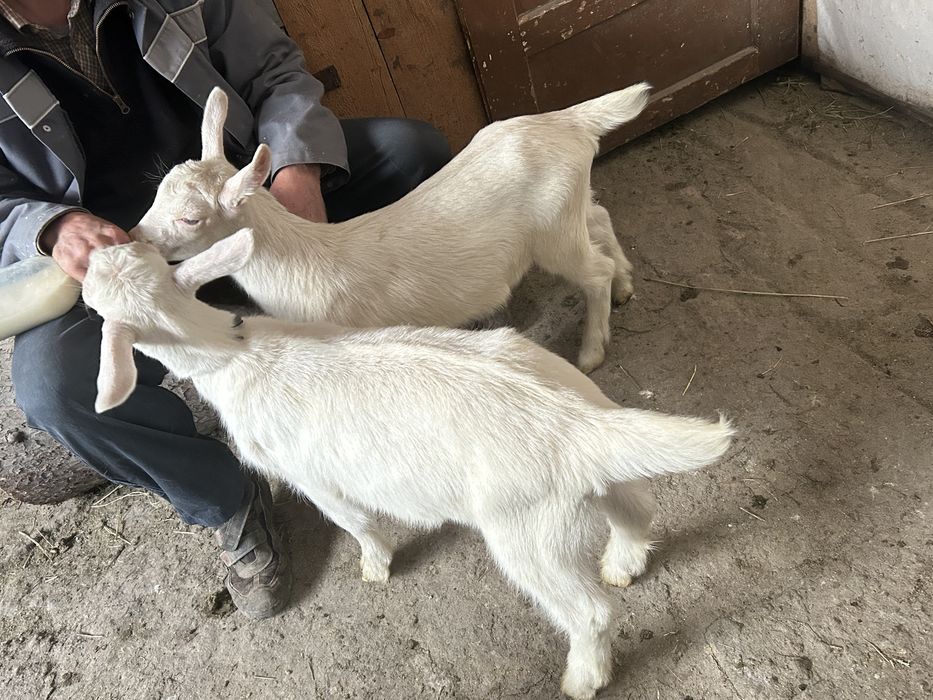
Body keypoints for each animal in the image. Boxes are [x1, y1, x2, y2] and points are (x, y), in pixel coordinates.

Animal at [84, 230, 734, 700]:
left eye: (92, 293)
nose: (87, 250)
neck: (232, 352)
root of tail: (575, 424)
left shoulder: (314, 477)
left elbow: (356, 523)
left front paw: (375, 567)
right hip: (594, 476)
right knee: (637, 508)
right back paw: (622, 566)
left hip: (529, 533)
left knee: (590, 612)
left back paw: (582, 679)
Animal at [130, 83, 652, 373]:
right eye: (156, 193)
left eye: (190, 217)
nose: (136, 236)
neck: (302, 258)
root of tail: (571, 122)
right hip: (567, 207)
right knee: (600, 219)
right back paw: (627, 286)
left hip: (552, 232)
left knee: (593, 272)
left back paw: (592, 350)